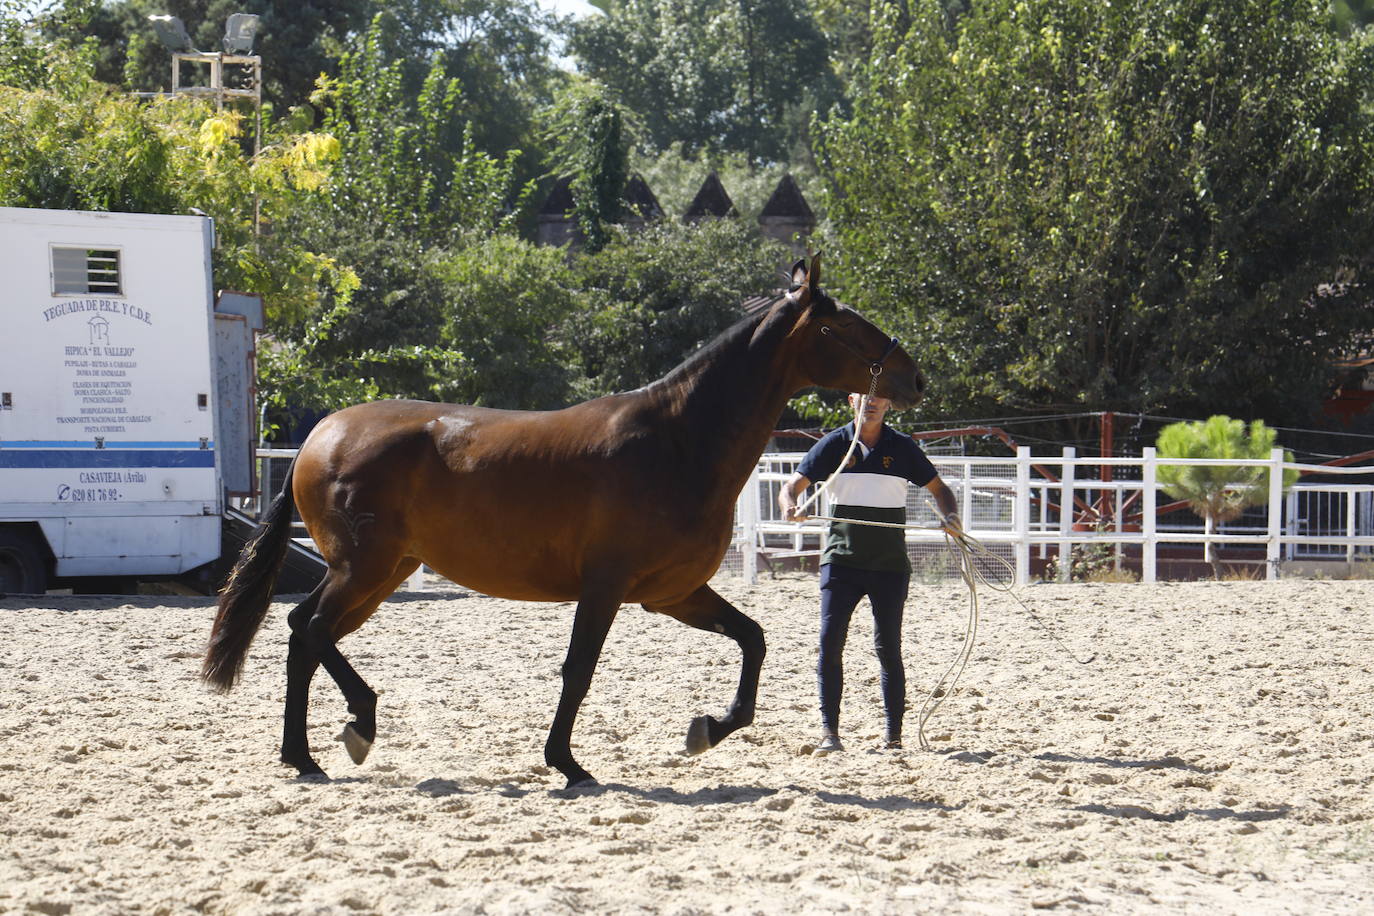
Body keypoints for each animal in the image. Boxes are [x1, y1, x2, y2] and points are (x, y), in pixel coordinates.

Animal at [200, 256, 923, 791]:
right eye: (847, 329)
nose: (914, 378)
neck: (677, 440)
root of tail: (321, 436)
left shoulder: (672, 593)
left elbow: (752, 639)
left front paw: (707, 730)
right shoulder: (605, 588)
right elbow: (579, 670)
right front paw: (568, 764)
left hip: (381, 574)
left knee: (305, 634)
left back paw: (313, 751)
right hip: (363, 569)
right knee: (310, 628)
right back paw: (349, 731)